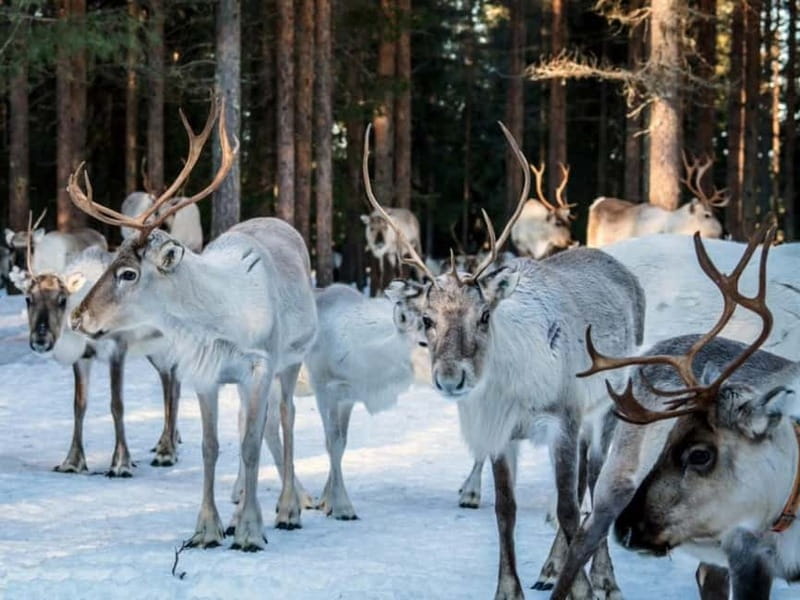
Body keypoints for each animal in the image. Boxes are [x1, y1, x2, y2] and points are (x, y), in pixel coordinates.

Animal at [10, 214, 181, 475]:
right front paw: (72, 461)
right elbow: (79, 405)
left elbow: (117, 404)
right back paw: (167, 442)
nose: (40, 340)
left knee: (174, 386)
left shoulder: (117, 349)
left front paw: (121, 463)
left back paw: (167, 452)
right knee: (168, 382)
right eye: (28, 299)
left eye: (62, 299)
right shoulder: (83, 357)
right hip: (155, 351)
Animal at [67, 99, 318, 552]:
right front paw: (209, 528)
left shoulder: (260, 365)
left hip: (291, 360)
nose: (78, 317)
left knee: (287, 417)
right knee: (251, 425)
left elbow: (251, 445)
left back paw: (288, 509)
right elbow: (211, 446)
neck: (220, 320)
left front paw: (251, 531)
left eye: (128, 273)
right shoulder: (206, 374)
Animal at [363, 121, 646, 600]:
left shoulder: (564, 417)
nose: (451, 377)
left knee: (593, 482)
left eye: (484, 315)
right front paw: (509, 588)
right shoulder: (500, 431)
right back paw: (551, 567)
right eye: (427, 319)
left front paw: (583, 587)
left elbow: (568, 510)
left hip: (607, 405)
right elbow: (505, 510)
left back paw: (606, 577)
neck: (512, 388)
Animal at [549, 224, 800, 600]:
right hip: (615, 479)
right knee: (581, 536)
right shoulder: (747, 550)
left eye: (700, 455)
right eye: (671, 439)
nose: (627, 529)